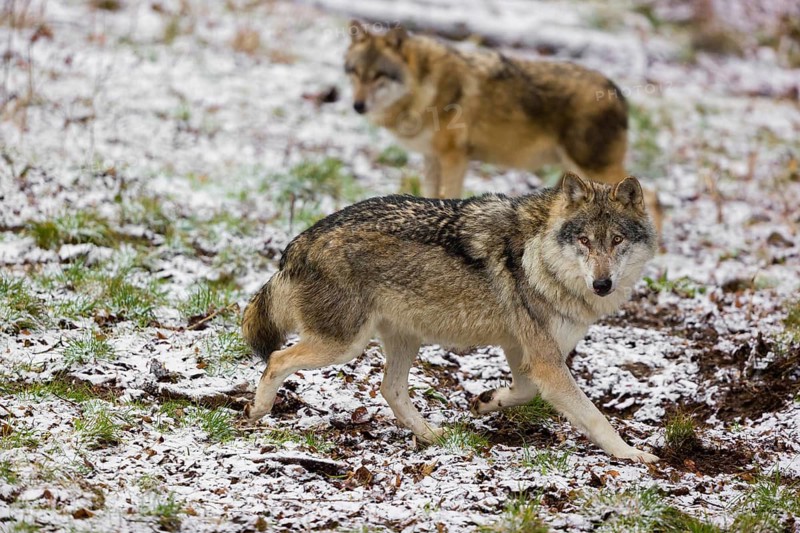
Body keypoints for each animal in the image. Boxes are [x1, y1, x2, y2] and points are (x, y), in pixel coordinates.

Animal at [242, 173, 659, 463]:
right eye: (584, 241)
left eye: (616, 240)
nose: (602, 284)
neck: (540, 256)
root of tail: (299, 243)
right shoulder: (546, 361)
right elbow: (594, 416)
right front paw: (631, 454)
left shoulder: (522, 351)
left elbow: (524, 391)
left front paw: (486, 401)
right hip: (344, 345)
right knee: (277, 359)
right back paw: (257, 410)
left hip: (403, 340)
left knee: (390, 389)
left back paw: (431, 435)